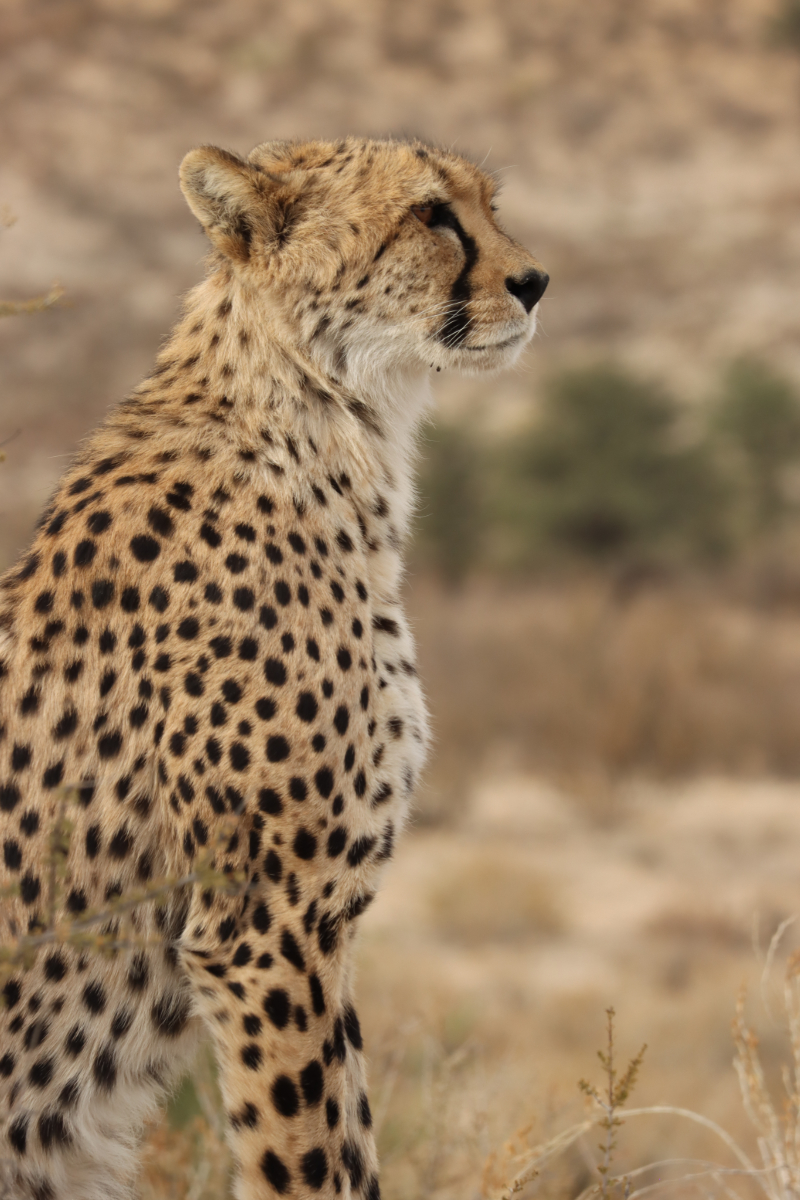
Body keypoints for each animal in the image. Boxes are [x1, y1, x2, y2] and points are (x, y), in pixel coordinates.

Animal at [0, 135, 548, 1200]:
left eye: (489, 205)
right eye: (432, 215)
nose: (536, 281)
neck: (327, 422)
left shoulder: (304, 926)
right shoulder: (266, 925)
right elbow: (311, 1156)